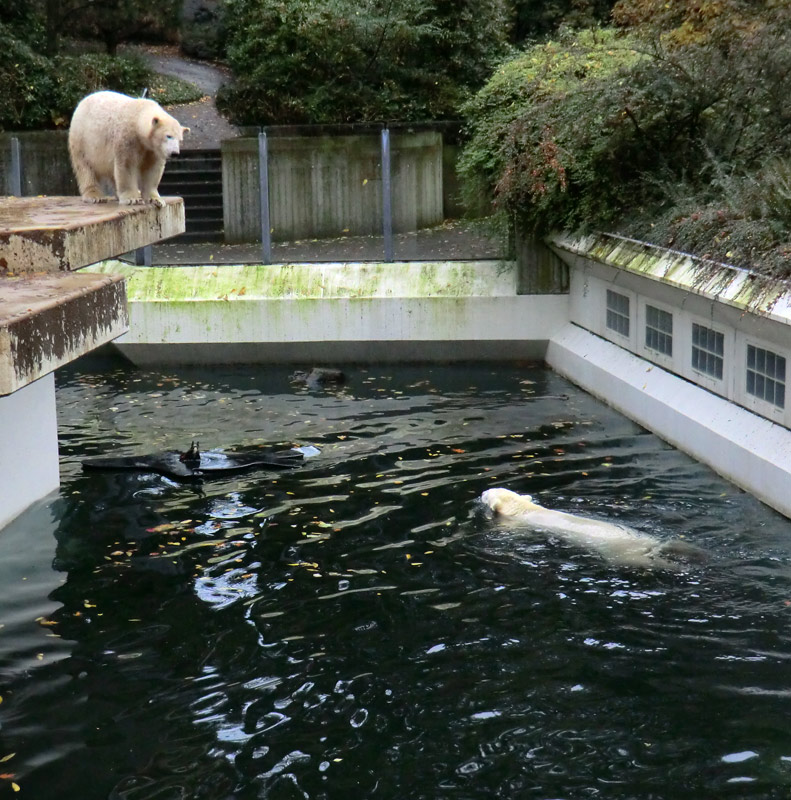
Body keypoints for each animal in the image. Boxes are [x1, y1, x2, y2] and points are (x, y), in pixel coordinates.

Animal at [480, 488, 704, 568]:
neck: (525, 510)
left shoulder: (519, 525)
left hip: (621, 553)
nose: (480, 492)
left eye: (486, 493)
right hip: (647, 536)